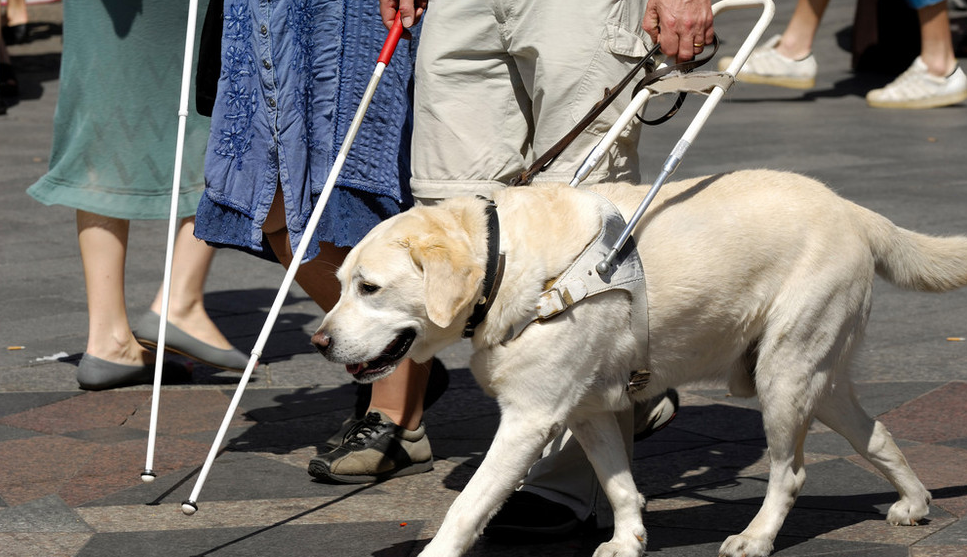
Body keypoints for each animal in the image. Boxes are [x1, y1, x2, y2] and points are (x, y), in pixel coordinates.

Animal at [312, 170, 967, 556]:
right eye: (340, 286)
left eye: (370, 288)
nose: (318, 341)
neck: (508, 262)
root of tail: (855, 210)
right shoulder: (589, 410)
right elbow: (619, 483)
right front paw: (629, 539)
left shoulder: (529, 419)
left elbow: (467, 504)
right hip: (815, 378)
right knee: (876, 434)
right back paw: (914, 504)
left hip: (783, 377)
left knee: (792, 473)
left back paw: (756, 537)